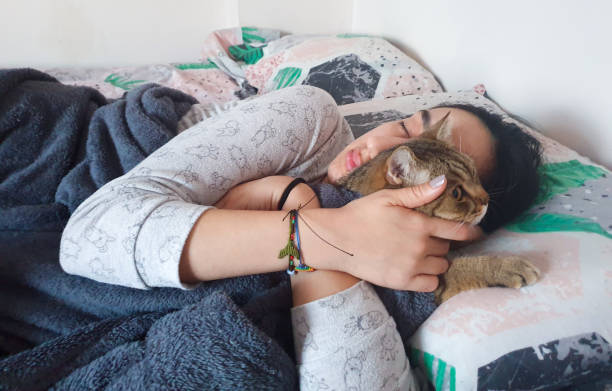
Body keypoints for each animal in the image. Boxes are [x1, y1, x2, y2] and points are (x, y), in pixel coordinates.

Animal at [334, 112, 540, 304]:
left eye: (474, 173)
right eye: (456, 193)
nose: (486, 199)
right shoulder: (419, 288)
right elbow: (464, 268)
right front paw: (506, 266)